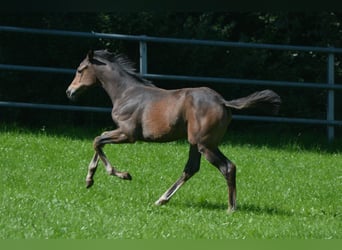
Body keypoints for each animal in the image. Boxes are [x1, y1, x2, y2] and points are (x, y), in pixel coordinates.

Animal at [66, 49, 280, 213]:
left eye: (80, 70)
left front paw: (123, 174)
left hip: (205, 145)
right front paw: (89, 180)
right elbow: (99, 139)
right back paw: (162, 199)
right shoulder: (121, 132)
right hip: (197, 143)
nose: (69, 92)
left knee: (227, 167)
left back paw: (231, 208)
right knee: (191, 168)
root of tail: (223, 102)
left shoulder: (128, 134)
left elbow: (97, 140)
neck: (126, 93)